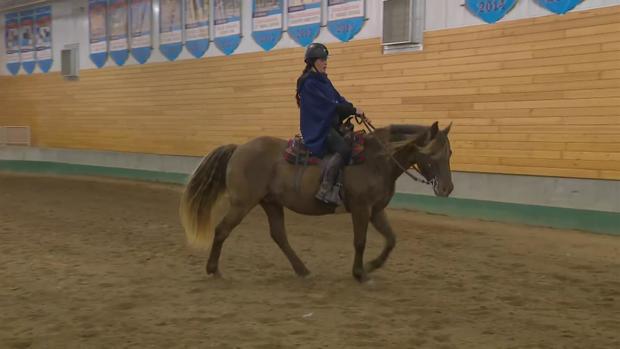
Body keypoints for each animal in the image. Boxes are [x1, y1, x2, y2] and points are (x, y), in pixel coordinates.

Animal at [179, 121, 456, 282]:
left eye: (449, 152)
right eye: (431, 153)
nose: (447, 188)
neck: (376, 160)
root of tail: (239, 148)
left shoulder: (376, 210)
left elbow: (391, 239)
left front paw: (372, 265)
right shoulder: (361, 208)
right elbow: (360, 241)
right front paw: (359, 272)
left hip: (271, 203)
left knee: (279, 235)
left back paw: (302, 269)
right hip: (242, 204)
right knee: (221, 230)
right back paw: (213, 269)